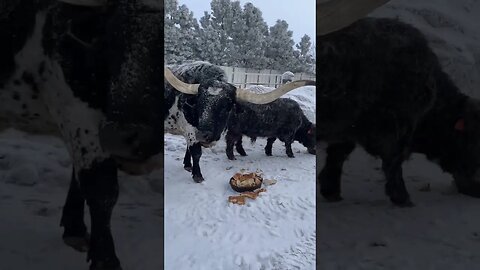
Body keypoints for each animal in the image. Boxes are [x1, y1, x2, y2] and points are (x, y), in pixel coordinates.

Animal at [0, 0, 168, 270]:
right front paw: (105, 260)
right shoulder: (74, 106)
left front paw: (74, 227)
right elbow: (100, 188)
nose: (119, 137)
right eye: (111, 39)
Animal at [163, 61, 316, 181]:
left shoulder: (191, 131)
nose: (204, 136)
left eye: (227, 106)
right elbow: (196, 152)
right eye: (200, 102)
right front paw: (198, 175)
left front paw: (188, 166)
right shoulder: (191, 130)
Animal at [318, 0, 480, 207]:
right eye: (475, 141)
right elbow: (393, 165)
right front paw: (403, 198)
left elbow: (337, 156)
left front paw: (331, 191)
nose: (477, 188)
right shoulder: (395, 132)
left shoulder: (347, 130)